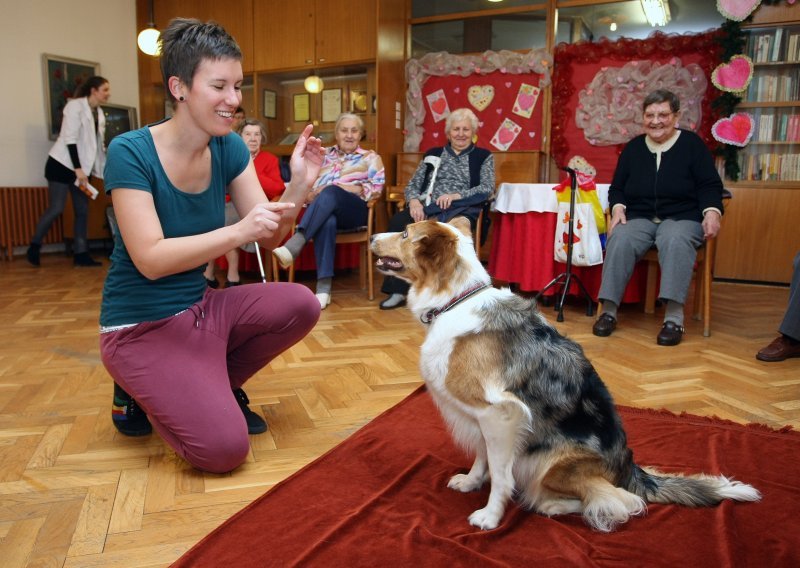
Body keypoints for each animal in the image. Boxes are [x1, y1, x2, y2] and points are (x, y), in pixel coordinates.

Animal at [372, 217, 760, 532]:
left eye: (405, 233)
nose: (373, 235)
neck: (456, 301)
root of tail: (630, 468)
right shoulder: (482, 417)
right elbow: (483, 456)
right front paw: (471, 481)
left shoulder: (502, 413)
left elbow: (500, 474)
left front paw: (490, 516)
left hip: (550, 463)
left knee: (621, 501)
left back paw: (554, 504)